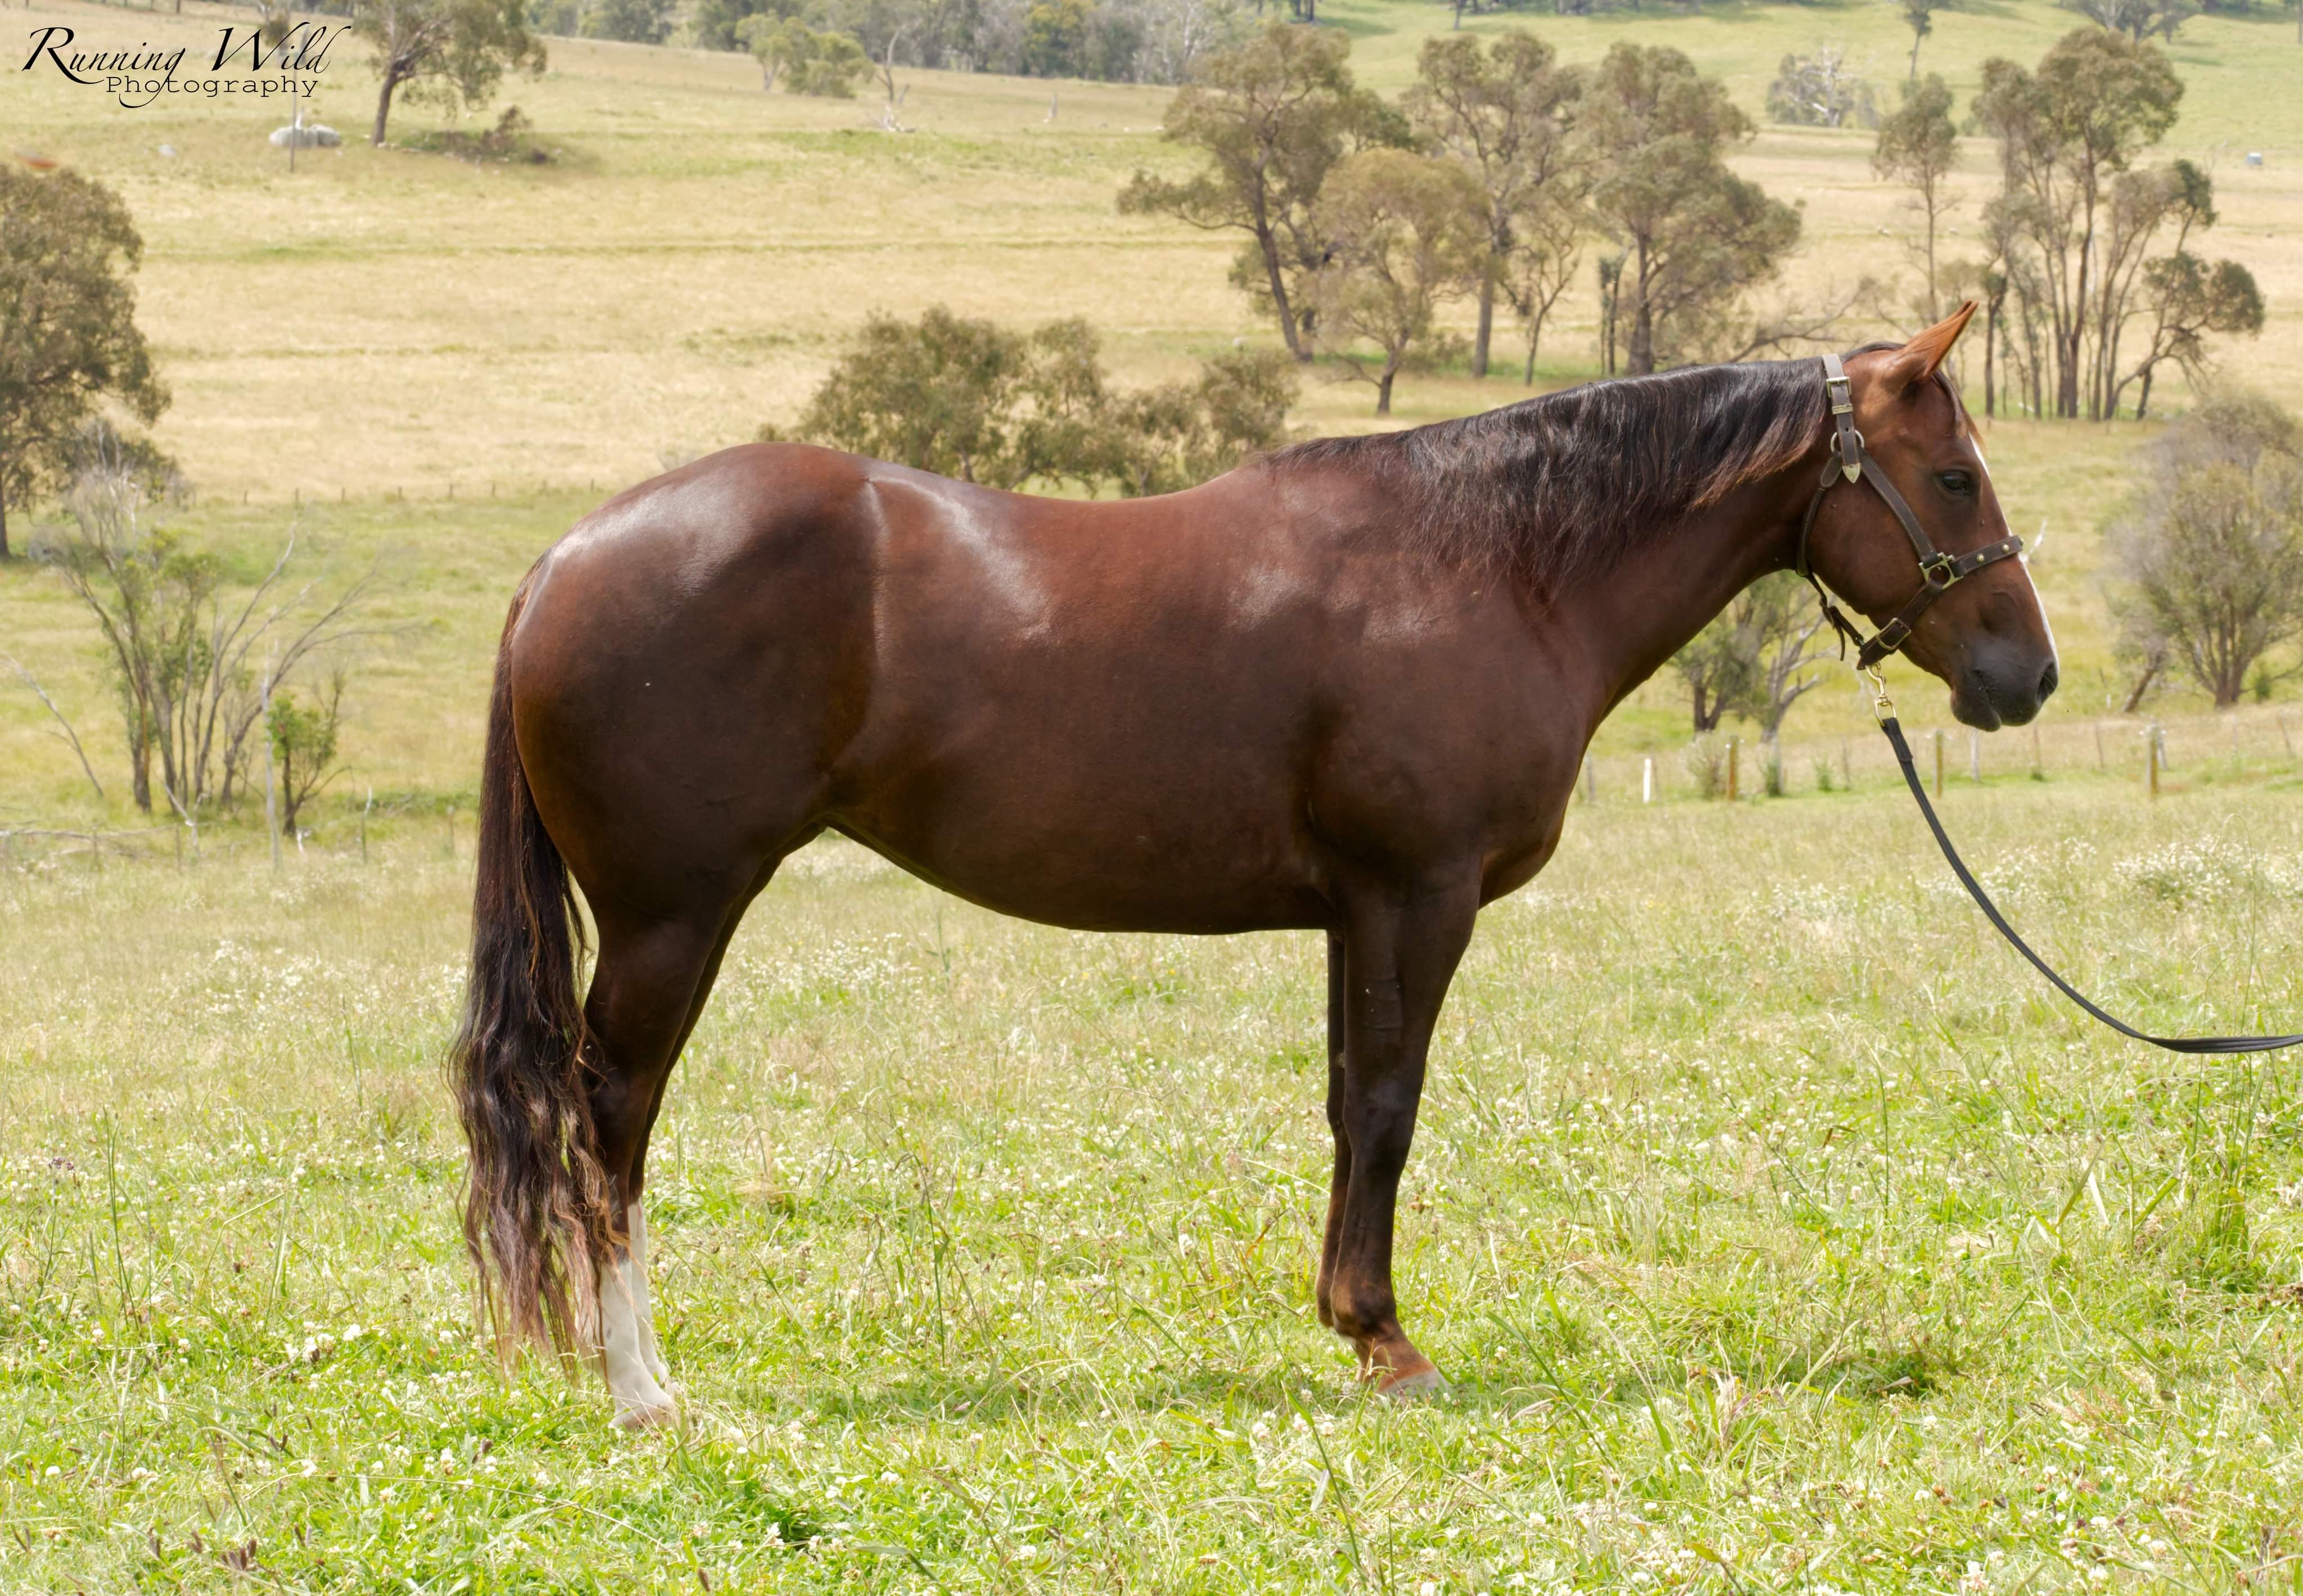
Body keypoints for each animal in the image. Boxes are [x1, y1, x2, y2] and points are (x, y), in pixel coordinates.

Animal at [451, 303, 2055, 1428]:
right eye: (1952, 475)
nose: (2023, 675)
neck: (1493, 565)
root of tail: (558, 563)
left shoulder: (1354, 910)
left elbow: (1349, 1106)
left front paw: (1351, 1321)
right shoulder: (1418, 895)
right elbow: (1394, 1109)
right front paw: (1388, 1343)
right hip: (671, 920)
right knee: (609, 1122)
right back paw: (643, 1389)